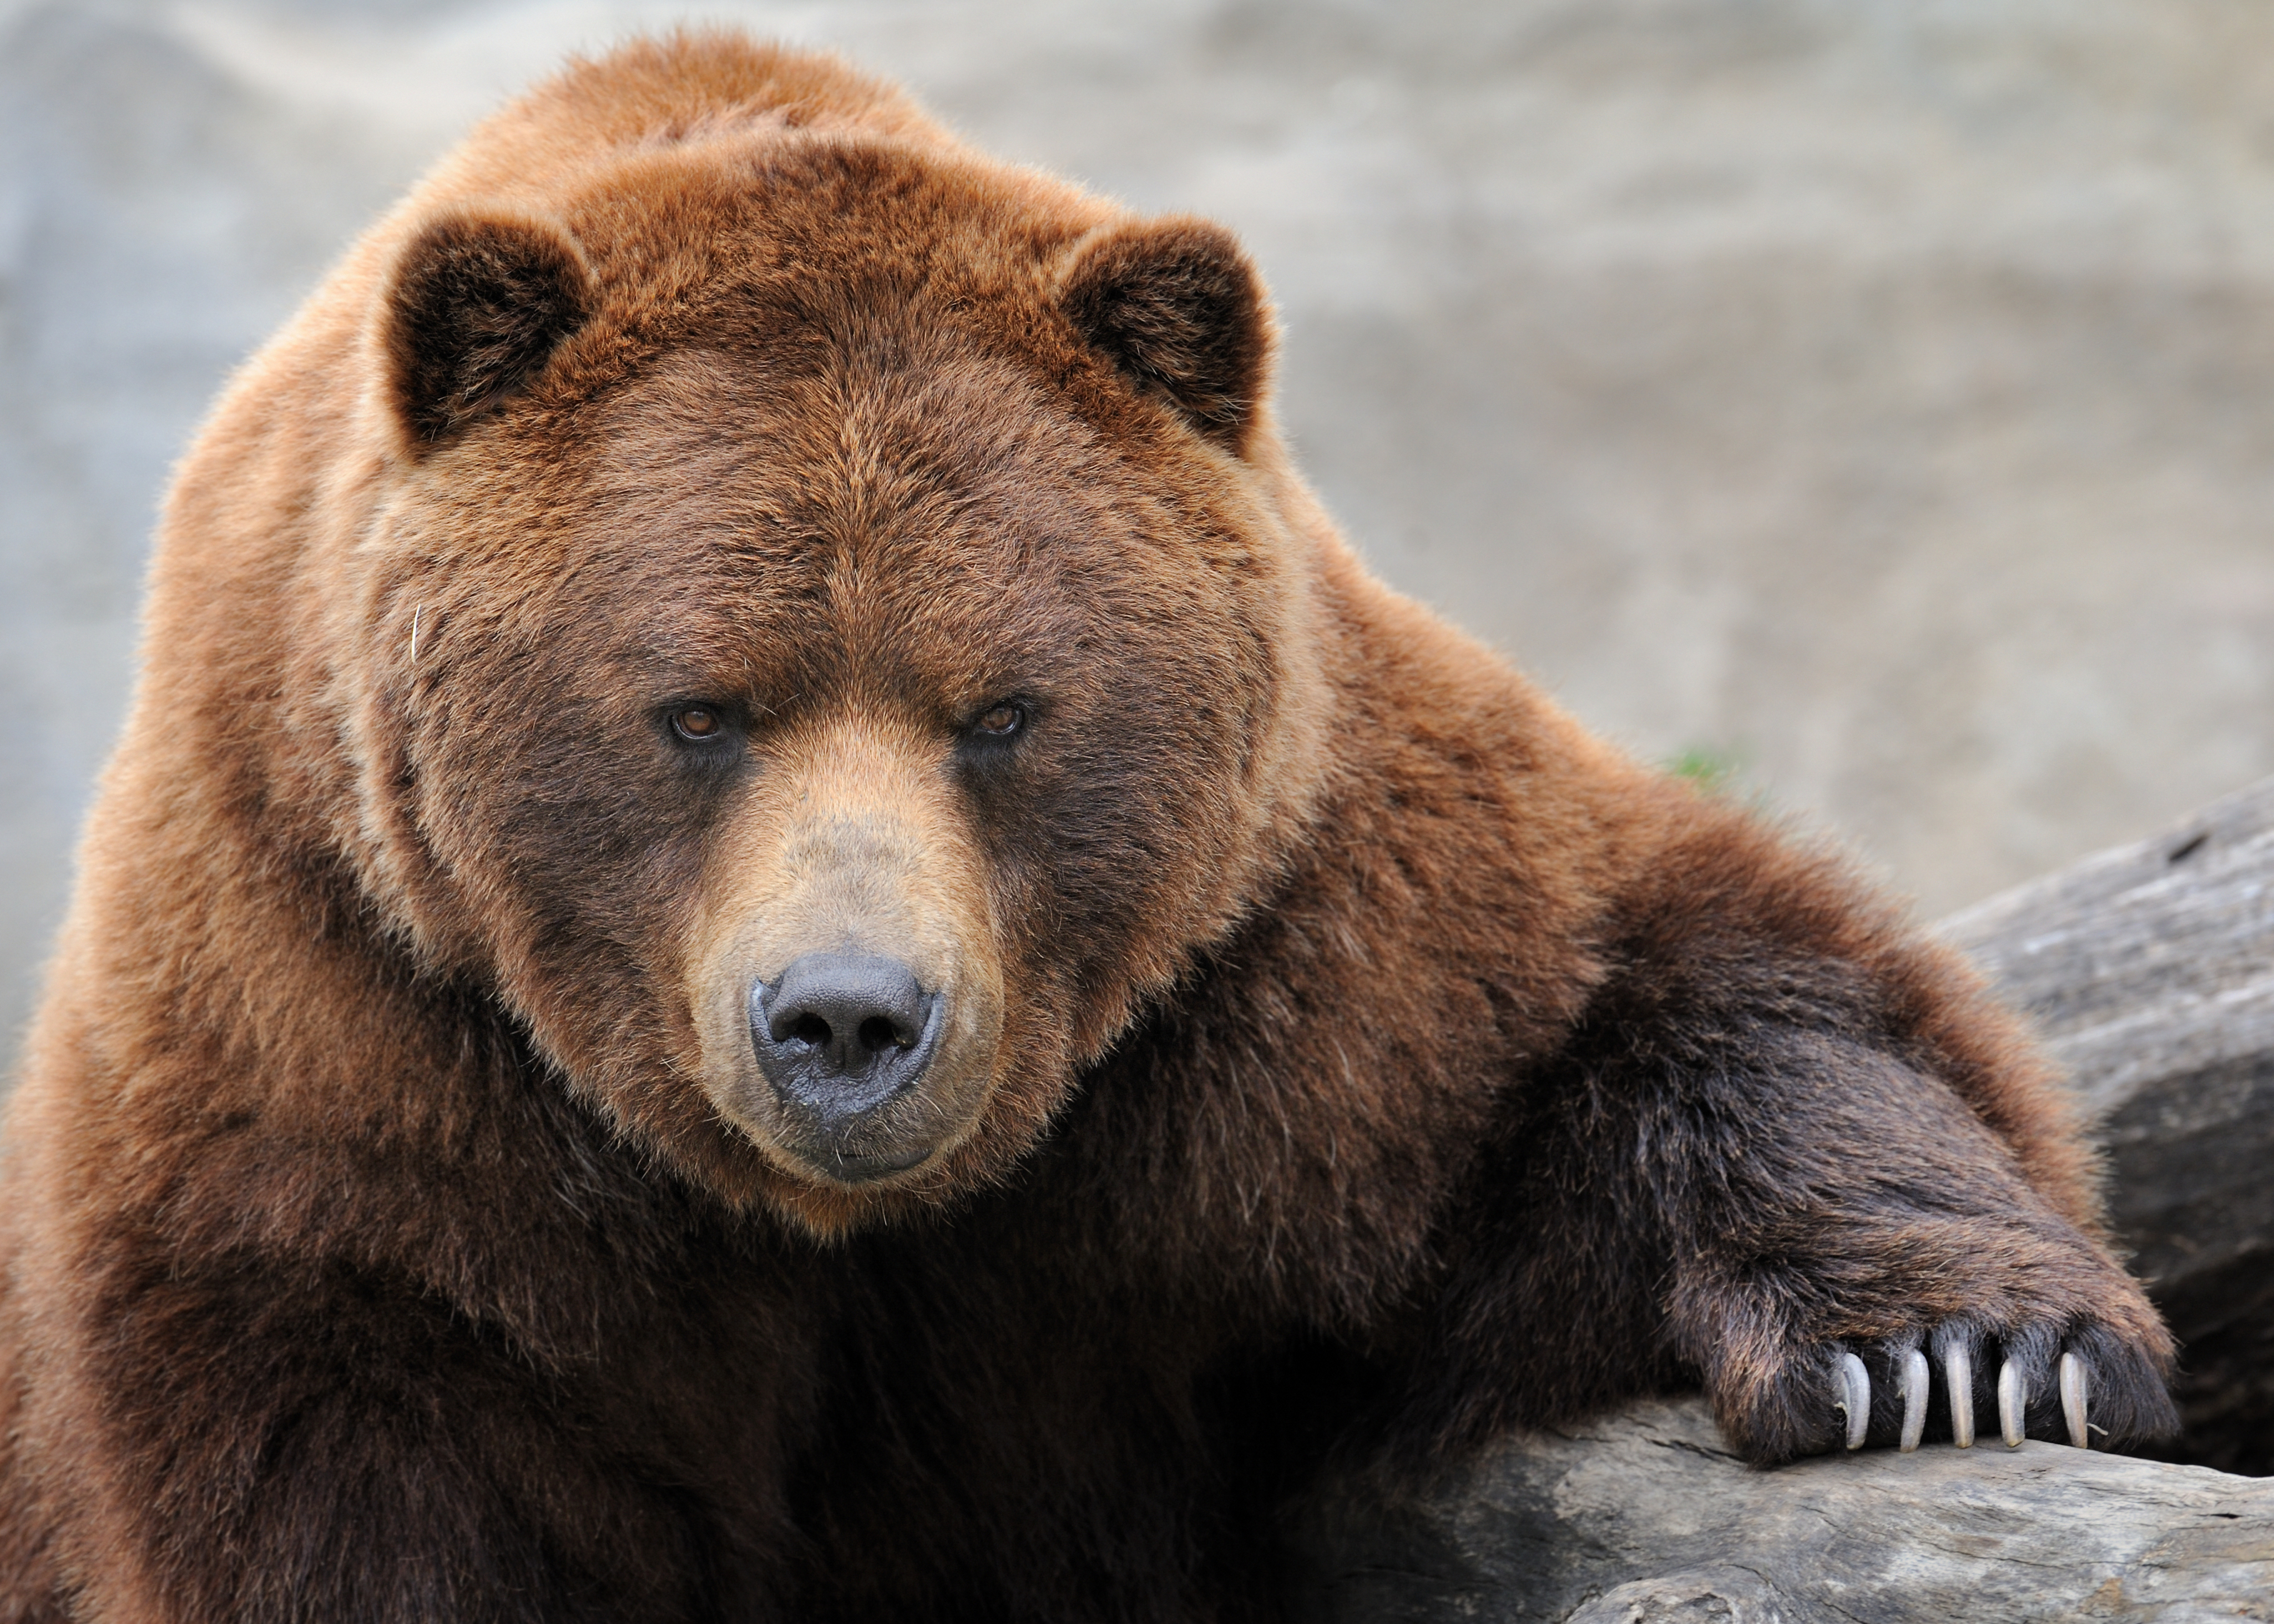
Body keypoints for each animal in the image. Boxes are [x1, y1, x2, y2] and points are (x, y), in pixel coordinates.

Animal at [0, 28, 2174, 1619]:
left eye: (1002, 712)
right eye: (696, 709)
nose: (849, 1019)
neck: (845, 1228)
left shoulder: (1289, 972)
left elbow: (1679, 994)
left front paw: (1954, 1350)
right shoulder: (353, 1046)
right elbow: (366, 1451)